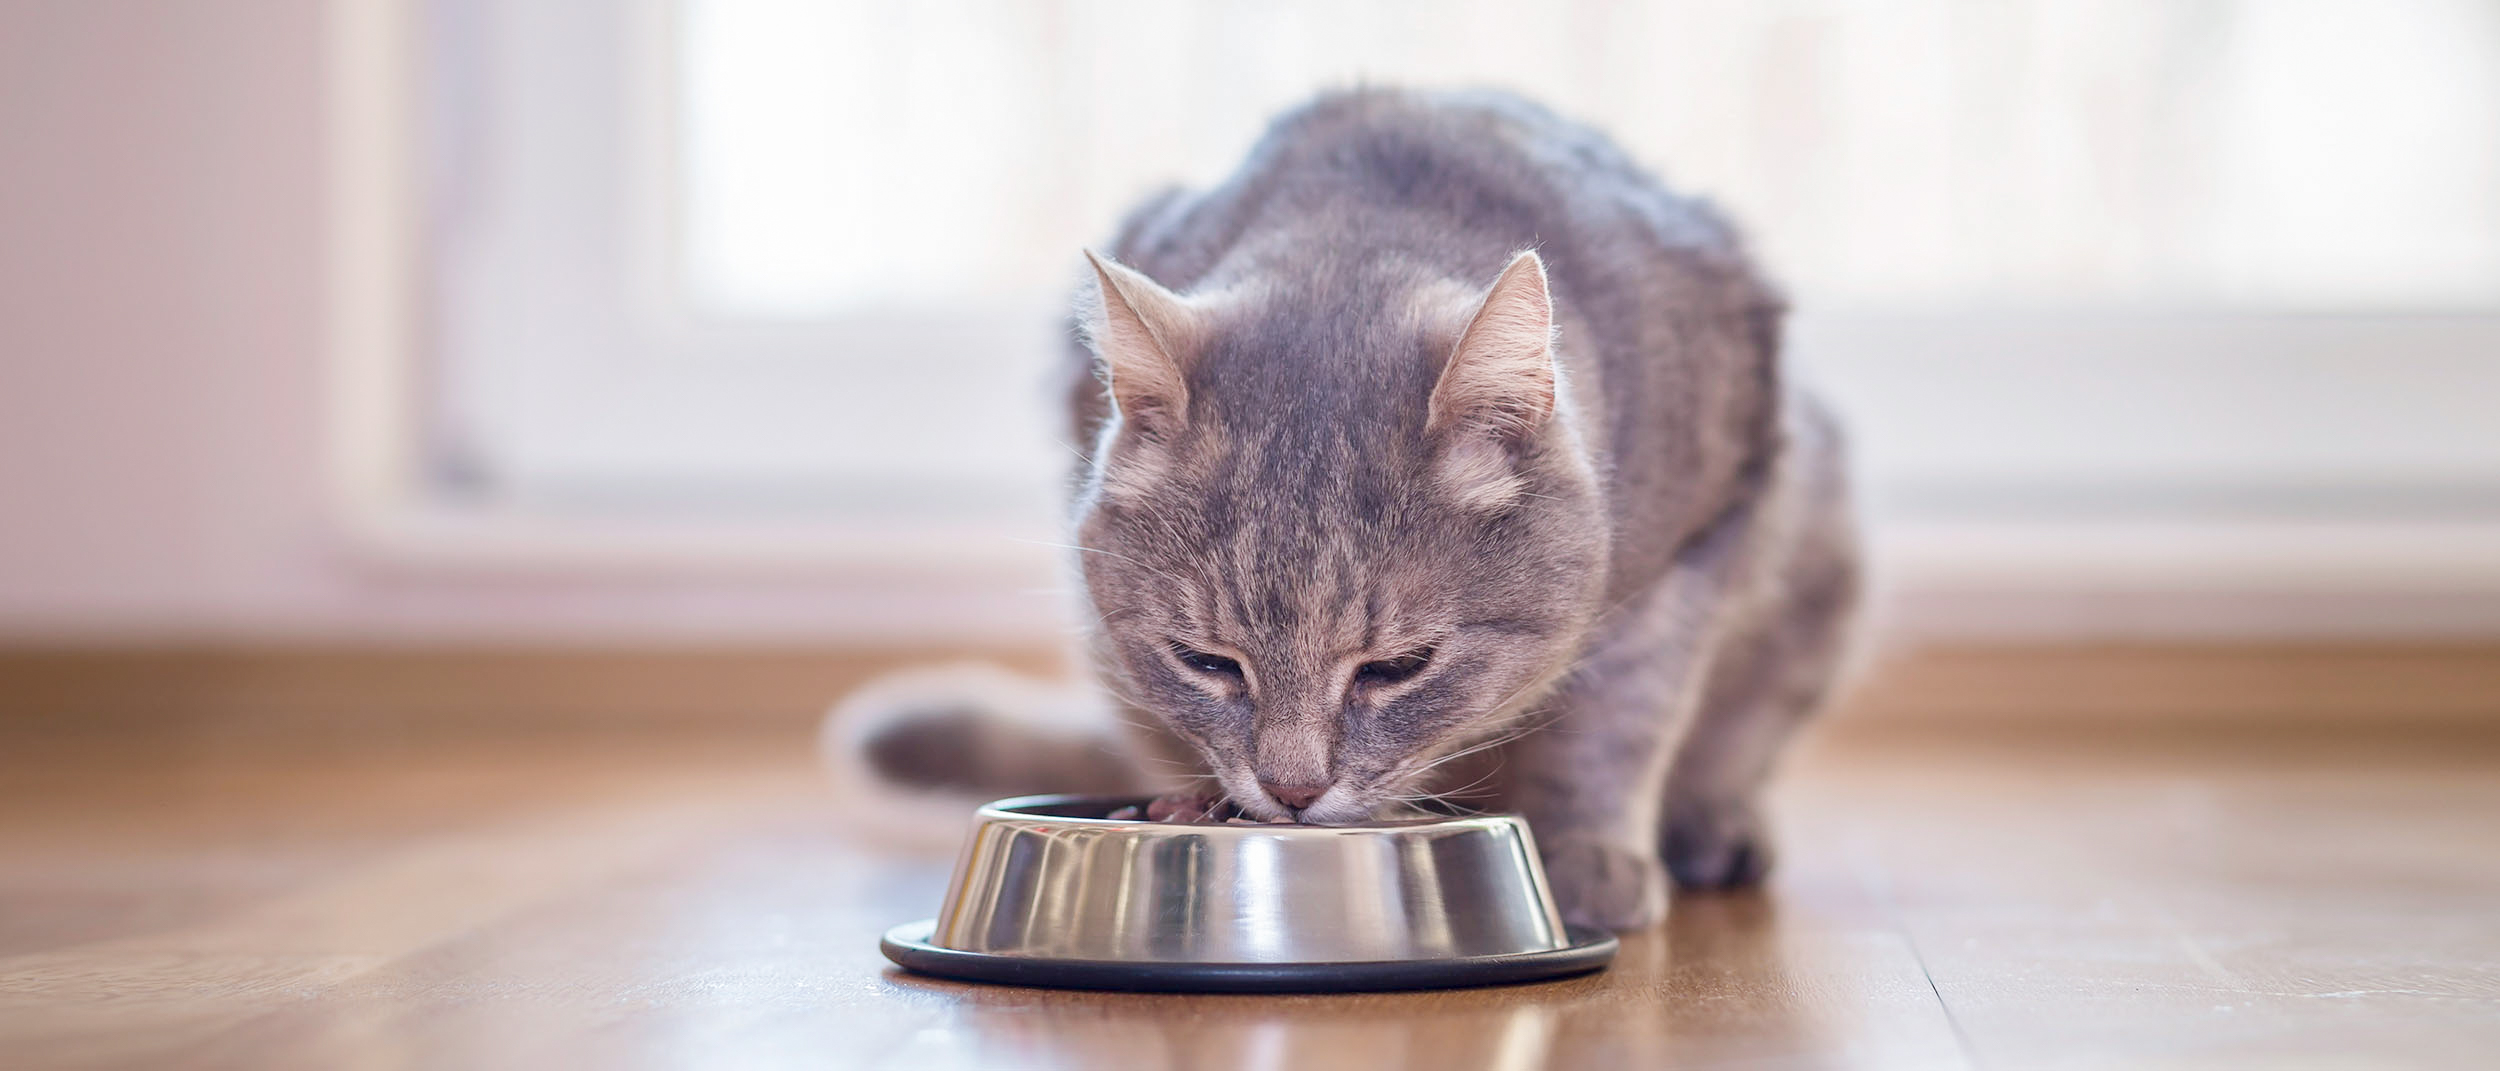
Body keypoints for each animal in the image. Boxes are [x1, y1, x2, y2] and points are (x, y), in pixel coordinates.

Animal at [840, 87, 1860, 930]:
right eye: (1206, 661)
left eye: (1397, 668)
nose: (1292, 791)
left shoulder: (1701, 538)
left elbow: (1623, 714)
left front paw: (1587, 852)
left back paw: (1713, 827)